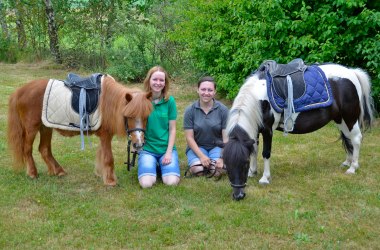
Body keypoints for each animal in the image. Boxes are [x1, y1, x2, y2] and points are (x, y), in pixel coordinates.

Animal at [5, 74, 151, 186]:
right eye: (129, 116)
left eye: (146, 116)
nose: (139, 144)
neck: (109, 102)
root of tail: (20, 91)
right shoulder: (105, 135)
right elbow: (108, 157)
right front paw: (110, 181)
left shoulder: (104, 136)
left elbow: (102, 154)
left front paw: (101, 173)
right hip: (32, 128)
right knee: (27, 149)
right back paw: (32, 173)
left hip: (45, 127)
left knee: (44, 149)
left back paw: (58, 171)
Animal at [223, 59, 374, 200]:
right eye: (226, 166)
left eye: (244, 164)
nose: (238, 196)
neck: (258, 99)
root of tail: (352, 72)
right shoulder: (255, 130)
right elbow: (254, 150)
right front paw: (253, 172)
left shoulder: (267, 130)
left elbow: (265, 153)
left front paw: (265, 178)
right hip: (340, 120)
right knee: (348, 138)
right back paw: (347, 162)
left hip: (350, 118)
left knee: (356, 139)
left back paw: (353, 167)